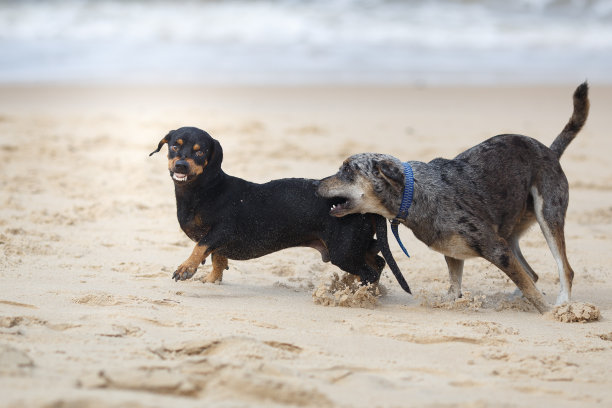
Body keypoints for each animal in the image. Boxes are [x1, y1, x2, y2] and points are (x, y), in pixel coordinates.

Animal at [148, 126, 408, 292]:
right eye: (174, 146)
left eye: (200, 150)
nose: (181, 165)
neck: (205, 189)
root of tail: (363, 202)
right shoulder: (218, 242)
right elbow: (217, 259)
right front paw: (212, 279)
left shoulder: (223, 230)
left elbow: (201, 246)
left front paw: (186, 268)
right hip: (353, 246)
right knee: (377, 261)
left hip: (342, 251)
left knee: (369, 272)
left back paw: (357, 294)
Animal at [316, 82, 588, 312]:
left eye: (348, 170)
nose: (316, 184)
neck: (413, 195)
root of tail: (550, 152)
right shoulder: (456, 252)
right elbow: (455, 285)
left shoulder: (497, 249)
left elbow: (531, 289)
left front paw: (547, 312)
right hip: (510, 233)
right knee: (531, 273)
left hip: (548, 214)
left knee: (564, 269)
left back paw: (562, 305)